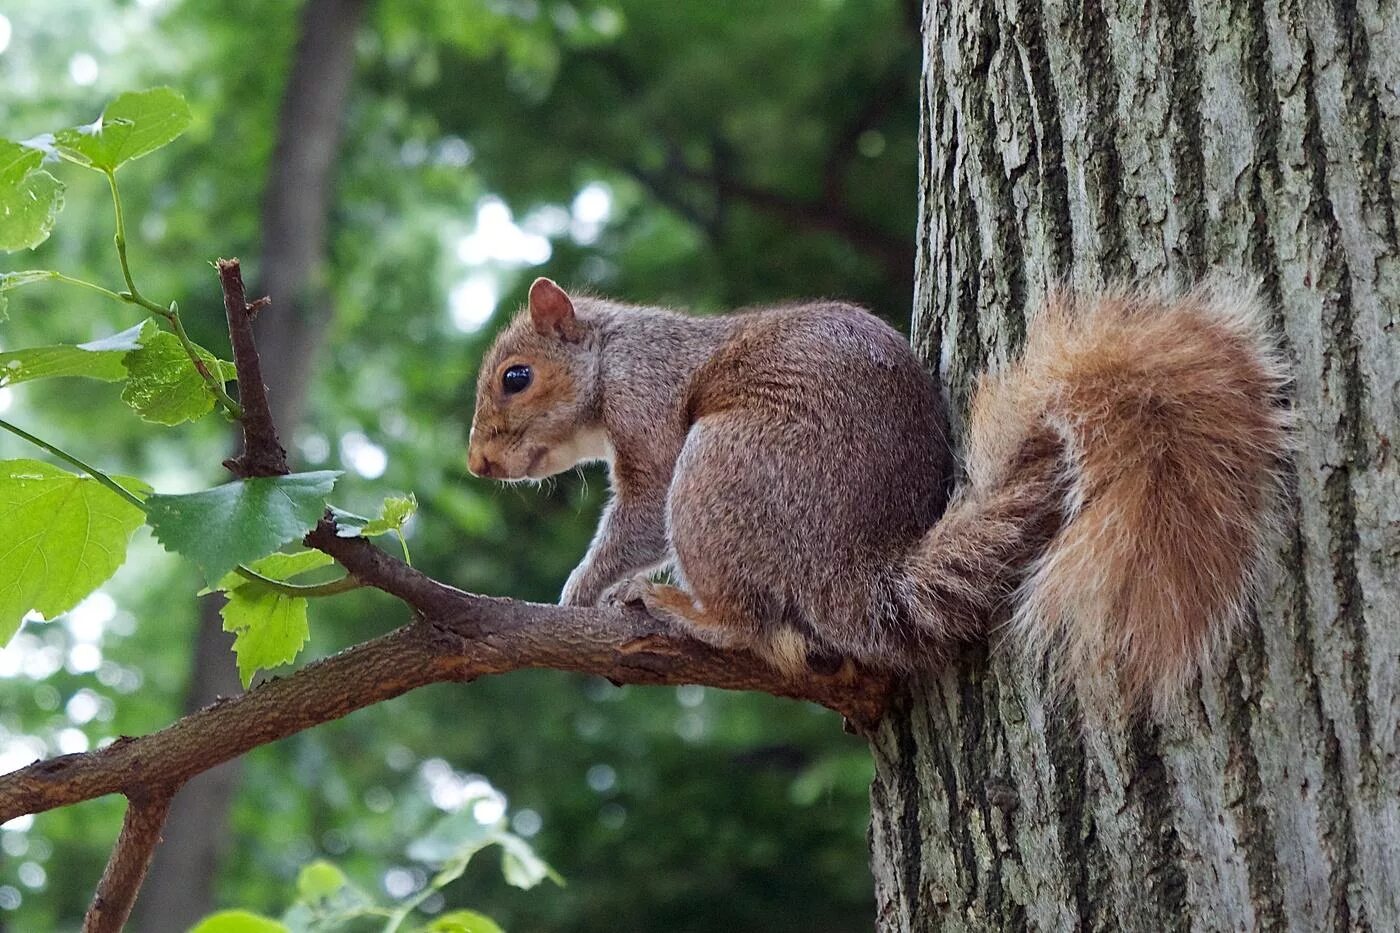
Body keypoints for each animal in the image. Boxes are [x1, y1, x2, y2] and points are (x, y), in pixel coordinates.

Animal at [470, 275, 1288, 706]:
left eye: (517, 377)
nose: (477, 463)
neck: (615, 355)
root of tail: (854, 570)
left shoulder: (652, 417)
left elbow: (637, 518)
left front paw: (579, 591)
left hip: (719, 470)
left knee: (747, 618)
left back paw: (680, 606)